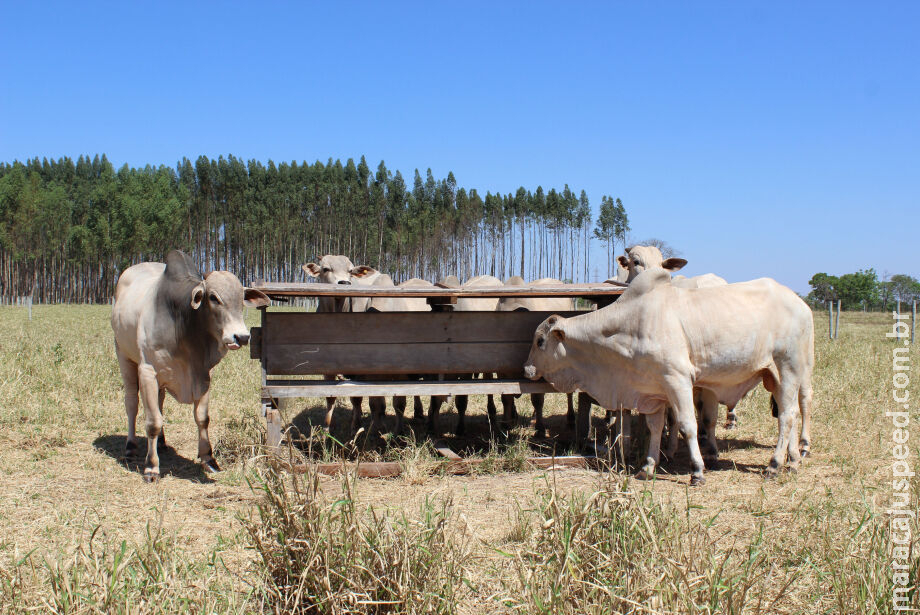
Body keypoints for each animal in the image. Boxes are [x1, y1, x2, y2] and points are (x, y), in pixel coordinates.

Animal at [110, 249, 270, 482]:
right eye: (213, 297)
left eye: (241, 298)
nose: (241, 337)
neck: (183, 324)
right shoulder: (148, 371)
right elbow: (152, 422)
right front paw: (151, 468)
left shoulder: (202, 374)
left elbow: (202, 418)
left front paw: (209, 459)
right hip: (124, 356)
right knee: (132, 403)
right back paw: (130, 448)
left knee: (160, 402)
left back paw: (162, 443)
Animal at [520, 268, 816, 486]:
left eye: (540, 341)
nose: (527, 369)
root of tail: (800, 303)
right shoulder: (652, 390)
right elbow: (655, 427)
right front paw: (649, 466)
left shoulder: (678, 380)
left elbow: (688, 425)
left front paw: (697, 471)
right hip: (774, 376)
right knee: (789, 413)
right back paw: (792, 462)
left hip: (791, 367)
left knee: (789, 414)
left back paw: (775, 464)